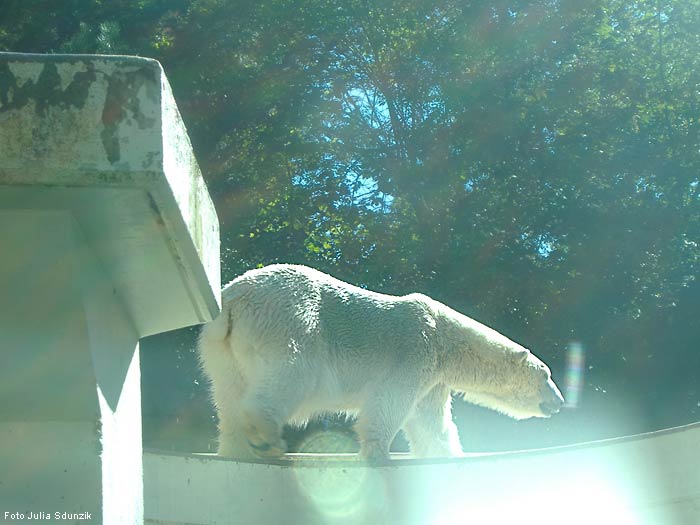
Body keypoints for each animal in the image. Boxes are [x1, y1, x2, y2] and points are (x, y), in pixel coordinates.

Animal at [196, 264, 564, 460]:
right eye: (546, 375)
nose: (560, 402)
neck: (445, 339)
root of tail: (233, 297)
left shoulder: (433, 379)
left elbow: (431, 423)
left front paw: (448, 456)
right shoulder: (414, 350)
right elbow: (389, 402)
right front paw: (378, 452)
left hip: (221, 351)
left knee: (228, 396)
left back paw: (237, 449)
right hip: (292, 321)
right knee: (291, 375)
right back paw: (265, 438)